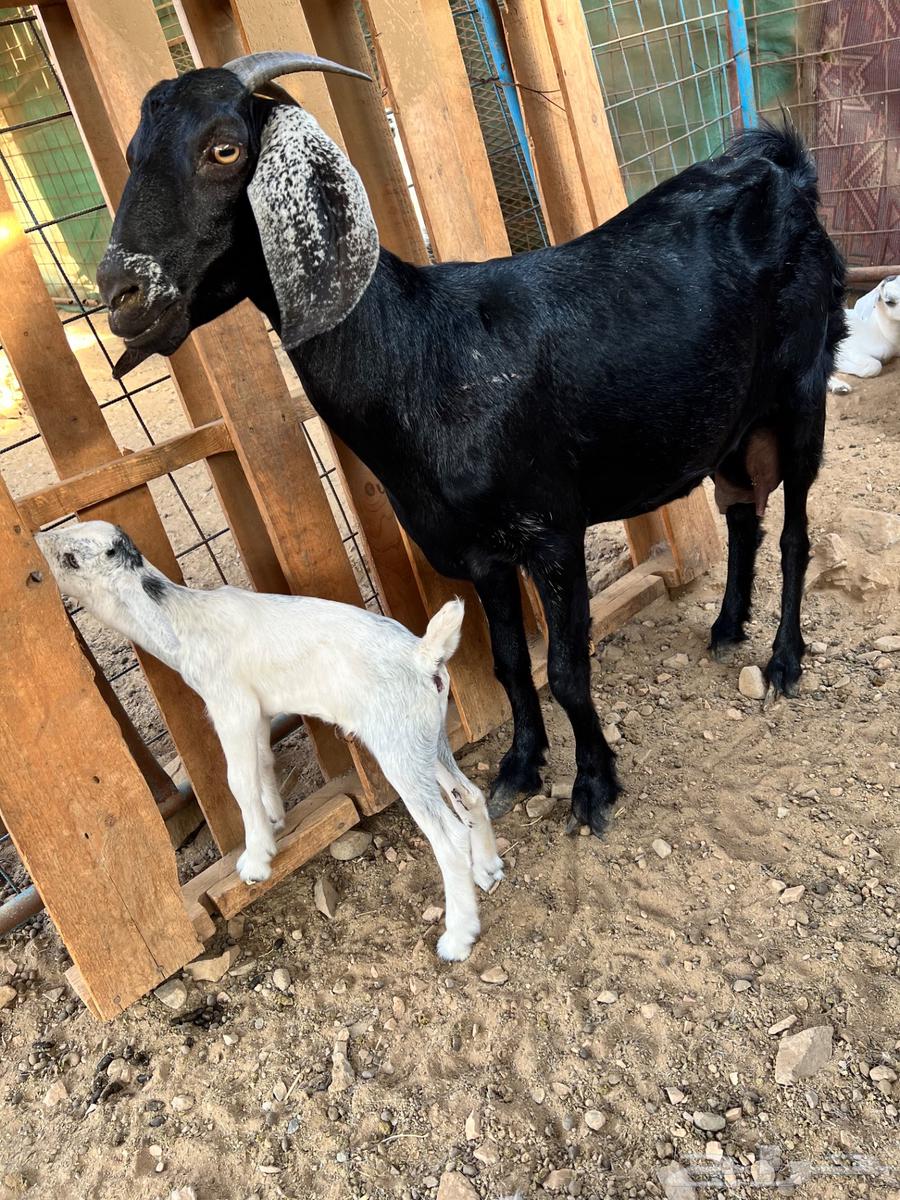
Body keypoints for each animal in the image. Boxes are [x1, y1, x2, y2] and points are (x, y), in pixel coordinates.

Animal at [36, 521, 504, 962]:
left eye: (71, 558)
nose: (37, 546)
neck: (181, 619)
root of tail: (423, 656)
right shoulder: (260, 713)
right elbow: (262, 764)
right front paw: (276, 821)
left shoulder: (232, 707)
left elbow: (238, 781)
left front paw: (256, 858)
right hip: (426, 740)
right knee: (470, 795)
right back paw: (488, 870)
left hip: (399, 750)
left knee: (449, 836)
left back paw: (458, 937)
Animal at [95, 52, 846, 838]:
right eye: (132, 153)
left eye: (224, 150)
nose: (120, 291)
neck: (426, 356)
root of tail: (784, 171)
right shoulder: (478, 549)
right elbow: (511, 664)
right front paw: (519, 767)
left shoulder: (551, 529)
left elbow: (568, 671)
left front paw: (593, 787)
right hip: (729, 420)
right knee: (743, 517)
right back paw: (728, 626)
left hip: (802, 389)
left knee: (794, 533)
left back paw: (784, 661)